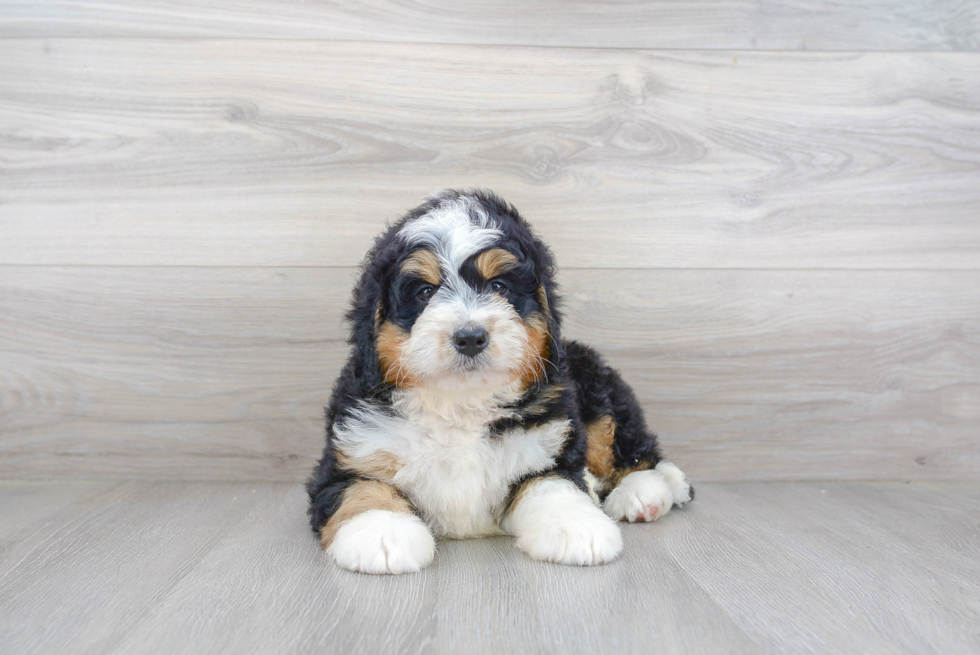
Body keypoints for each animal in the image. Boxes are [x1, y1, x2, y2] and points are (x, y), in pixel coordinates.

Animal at [304, 188, 688, 576]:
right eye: (425, 292)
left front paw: (576, 528)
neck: (460, 404)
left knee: (627, 446)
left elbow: (552, 484)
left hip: (596, 383)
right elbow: (362, 488)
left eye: (499, 286)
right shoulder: (352, 455)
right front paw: (382, 533)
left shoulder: (546, 446)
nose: (470, 337)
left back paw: (649, 491)